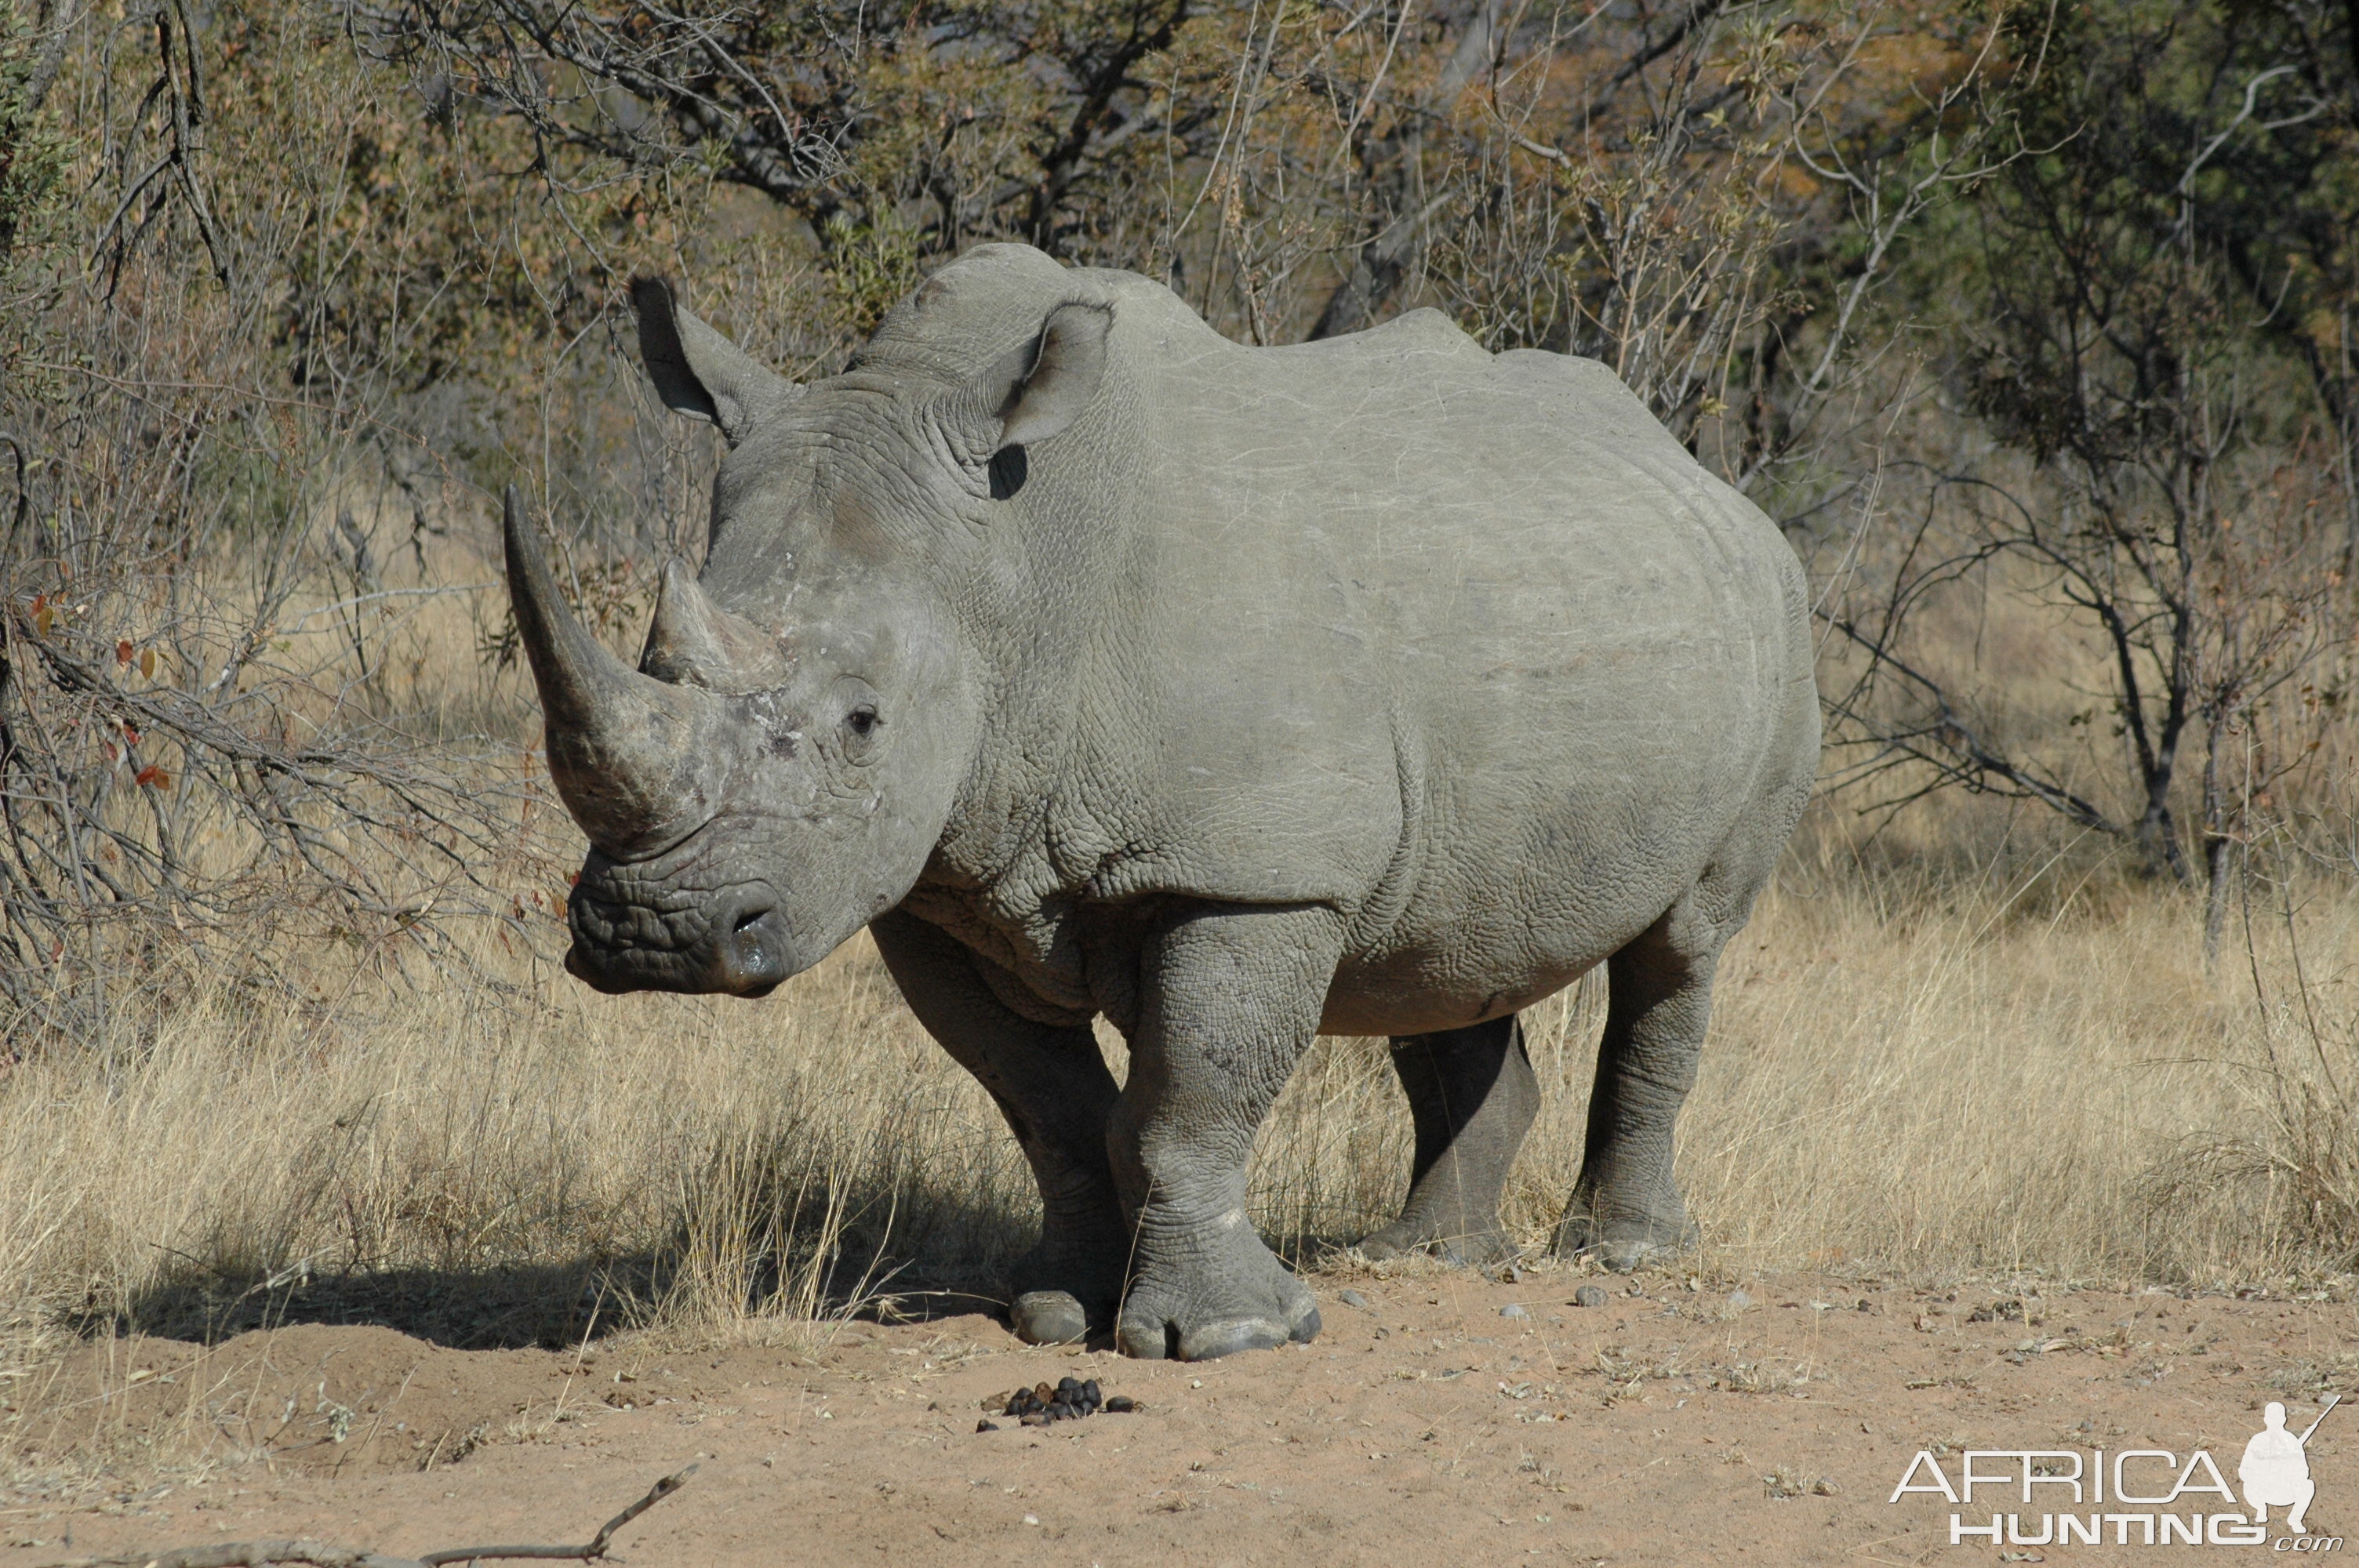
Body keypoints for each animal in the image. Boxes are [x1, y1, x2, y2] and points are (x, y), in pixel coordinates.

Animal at [507, 238, 1812, 1348]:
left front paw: (1224, 1337)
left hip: (1774, 616)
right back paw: (1427, 1256)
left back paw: (1620, 1255)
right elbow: (1049, 1110)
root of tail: (1706, 478)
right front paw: (1055, 1313)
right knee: (1446, 947)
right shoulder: (934, 883)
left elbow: (1190, 1096)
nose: (652, 932)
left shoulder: (1254, 868)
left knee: (1685, 943)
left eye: (863, 722)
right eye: (654, 660)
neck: (1020, 570)